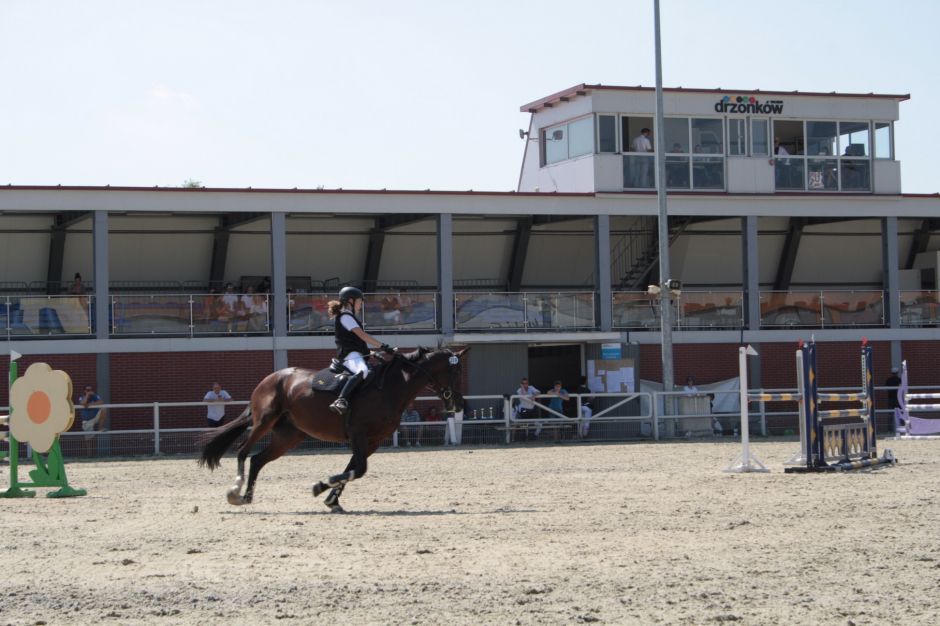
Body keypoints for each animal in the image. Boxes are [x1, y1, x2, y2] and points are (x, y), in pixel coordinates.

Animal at [198, 346, 467, 512]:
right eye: (456, 372)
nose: (460, 404)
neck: (390, 388)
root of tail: (270, 378)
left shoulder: (372, 441)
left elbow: (352, 469)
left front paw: (330, 497)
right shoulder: (358, 434)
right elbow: (358, 470)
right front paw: (323, 485)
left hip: (289, 436)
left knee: (257, 460)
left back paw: (247, 496)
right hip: (264, 421)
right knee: (243, 452)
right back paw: (235, 492)